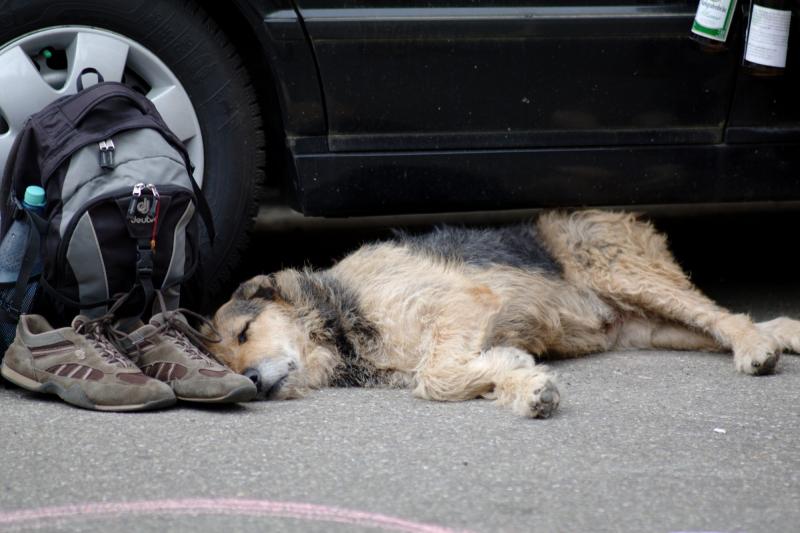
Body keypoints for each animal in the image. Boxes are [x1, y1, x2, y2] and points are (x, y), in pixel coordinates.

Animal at [206, 210, 800, 418]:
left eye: (246, 330)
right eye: (227, 362)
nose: (251, 382)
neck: (339, 317)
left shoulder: (460, 304)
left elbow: (434, 377)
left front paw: (517, 376)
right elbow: (455, 374)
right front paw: (523, 381)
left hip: (624, 272)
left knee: (725, 319)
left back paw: (756, 349)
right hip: (650, 328)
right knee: (724, 319)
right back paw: (782, 334)